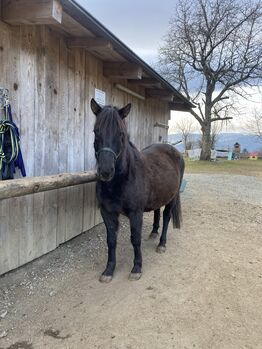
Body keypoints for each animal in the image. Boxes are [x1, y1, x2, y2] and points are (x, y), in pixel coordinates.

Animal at [91, 98, 185, 282]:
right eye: (96, 131)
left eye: (121, 134)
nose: (105, 171)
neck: (121, 180)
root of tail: (174, 151)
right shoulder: (107, 212)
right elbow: (111, 240)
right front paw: (108, 271)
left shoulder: (135, 213)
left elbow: (135, 239)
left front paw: (137, 268)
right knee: (157, 212)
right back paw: (154, 233)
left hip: (171, 198)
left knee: (166, 217)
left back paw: (161, 244)